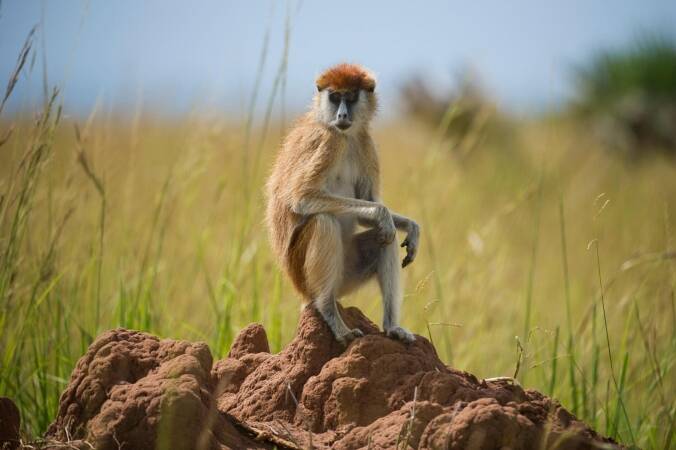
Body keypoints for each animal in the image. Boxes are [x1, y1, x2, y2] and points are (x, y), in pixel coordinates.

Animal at [265, 63, 420, 344]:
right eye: (335, 97)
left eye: (350, 97)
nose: (342, 114)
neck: (343, 134)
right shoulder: (329, 141)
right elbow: (302, 198)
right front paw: (384, 215)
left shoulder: (365, 142)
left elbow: (368, 206)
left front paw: (412, 228)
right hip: (305, 278)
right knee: (324, 221)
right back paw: (330, 313)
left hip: (346, 276)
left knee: (386, 241)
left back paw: (391, 327)